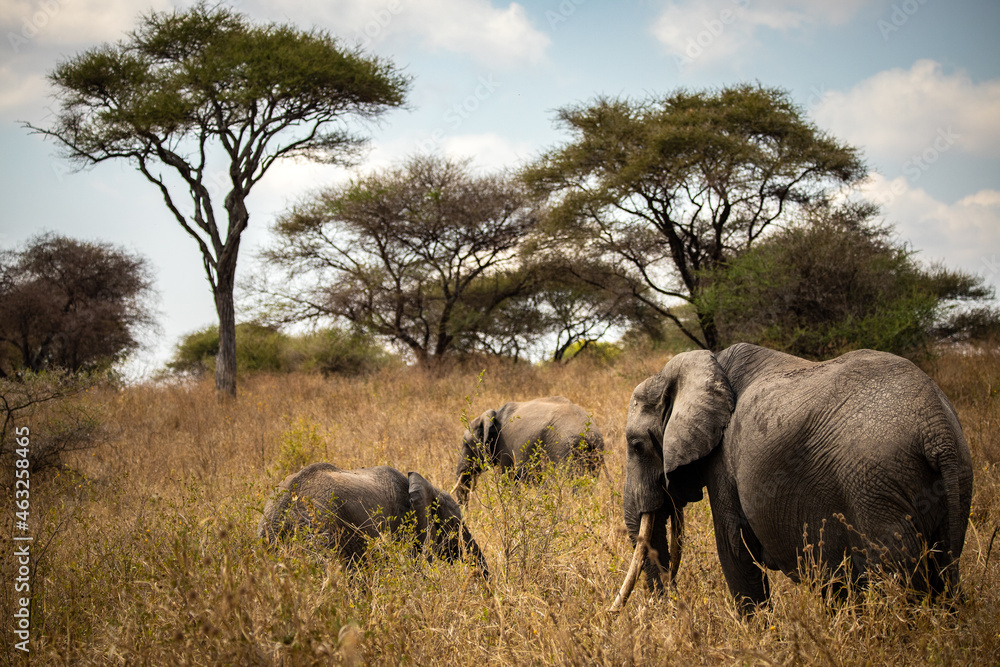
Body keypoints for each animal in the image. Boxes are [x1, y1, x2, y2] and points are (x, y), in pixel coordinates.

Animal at [454, 396, 604, 505]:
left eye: (465, 444)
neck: (493, 415)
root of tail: (589, 434)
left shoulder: (504, 445)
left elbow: (508, 479)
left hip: (563, 449)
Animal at [612, 343, 973, 613]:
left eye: (637, 445)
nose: (670, 605)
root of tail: (936, 428)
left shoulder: (722, 461)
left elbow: (733, 549)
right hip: (954, 479)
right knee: (943, 573)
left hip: (876, 487)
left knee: (900, 582)